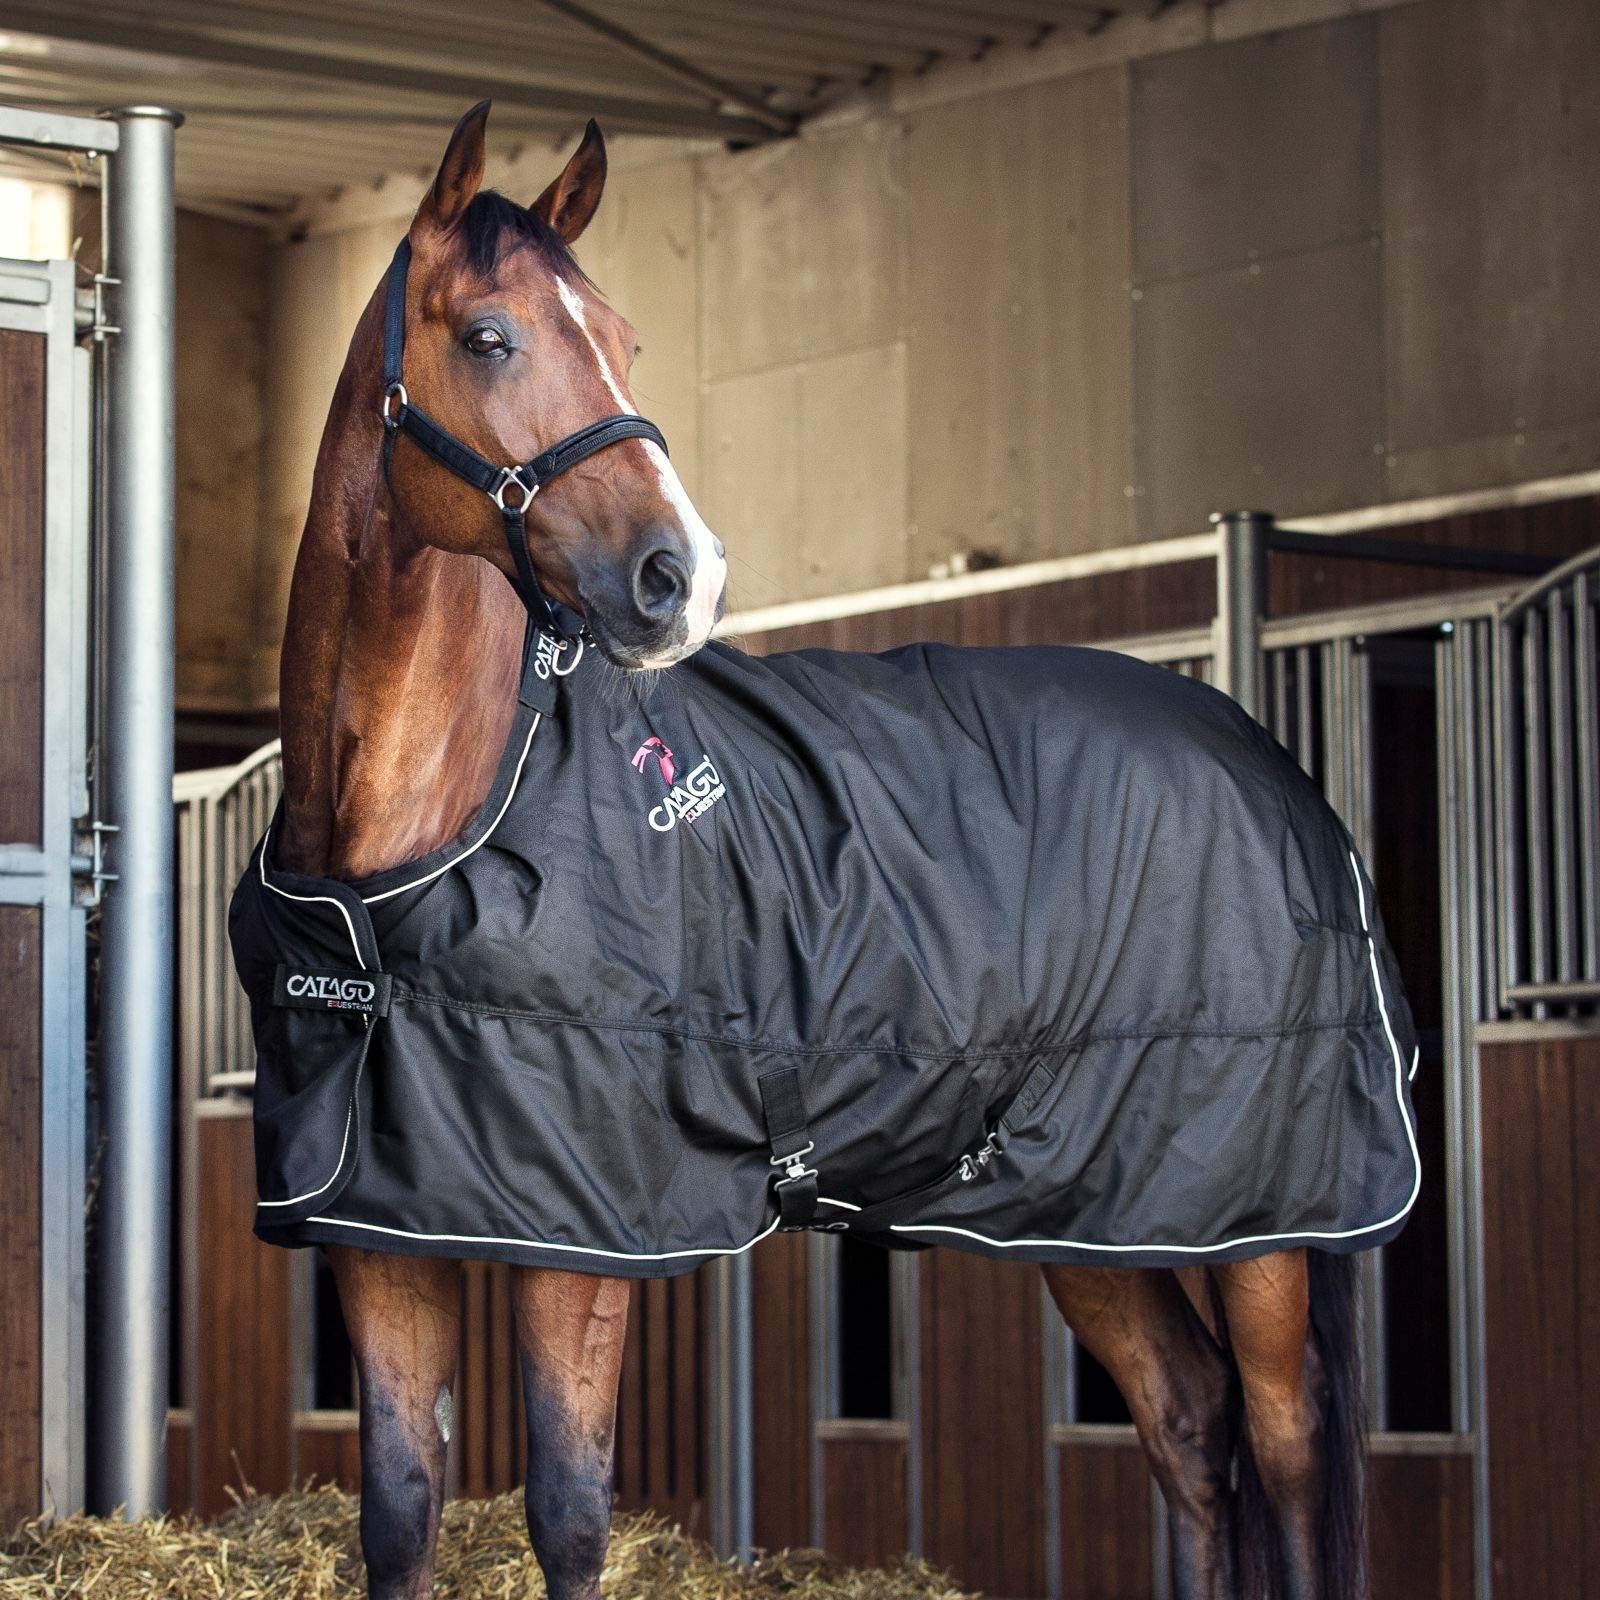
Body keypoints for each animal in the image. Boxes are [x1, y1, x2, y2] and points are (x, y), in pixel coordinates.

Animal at [261, 101, 1392, 1600]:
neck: (425, 836)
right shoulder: (386, 1233)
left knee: (1284, 1439)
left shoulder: (592, 1238)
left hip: (1260, 1215)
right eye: (490, 336)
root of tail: (1264, 760)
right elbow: (398, 1509)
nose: (680, 576)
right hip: (1095, 1205)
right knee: (1188, 1421)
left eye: (623, 339)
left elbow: (568, 1511)